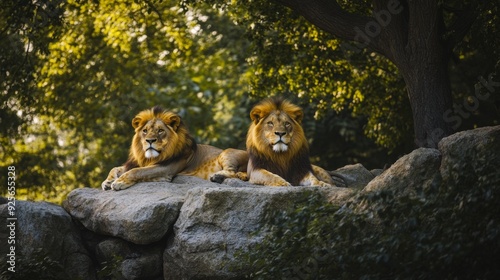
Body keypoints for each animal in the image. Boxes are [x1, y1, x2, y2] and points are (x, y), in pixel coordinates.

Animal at [101, 106, 248, 191]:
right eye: (145, 131)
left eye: (160, 131)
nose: (150, 141)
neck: (151, 157)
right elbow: (115, 168)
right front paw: (108, 181)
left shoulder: (167, 168)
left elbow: (137, 171)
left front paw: (119, 182)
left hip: (227, 152)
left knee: (232, 171)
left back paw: (217, 176)